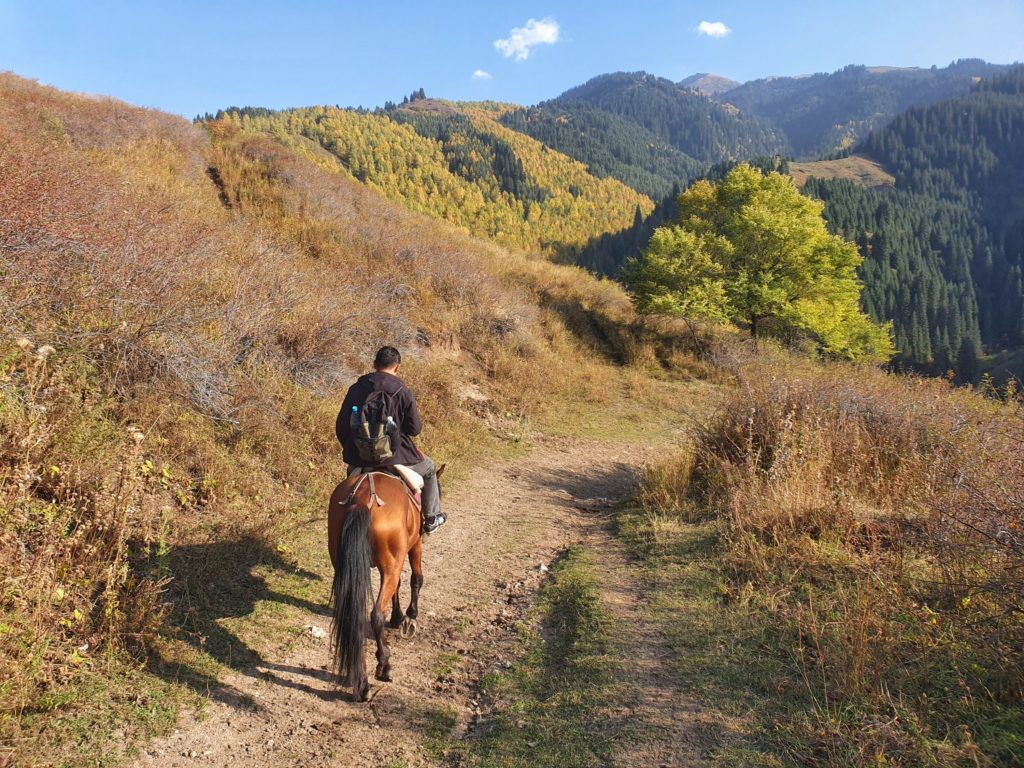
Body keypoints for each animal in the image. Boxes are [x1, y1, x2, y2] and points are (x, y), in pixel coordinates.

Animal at [327, 468, 440, 704]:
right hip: (393, 561)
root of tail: (361, 501)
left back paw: (362, 684)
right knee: (376, 614)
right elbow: (416, 578)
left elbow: (398, 586)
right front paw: (410, 616)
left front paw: (397, 617)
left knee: (355, 619)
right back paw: (383, 666)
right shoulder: (414, 545)